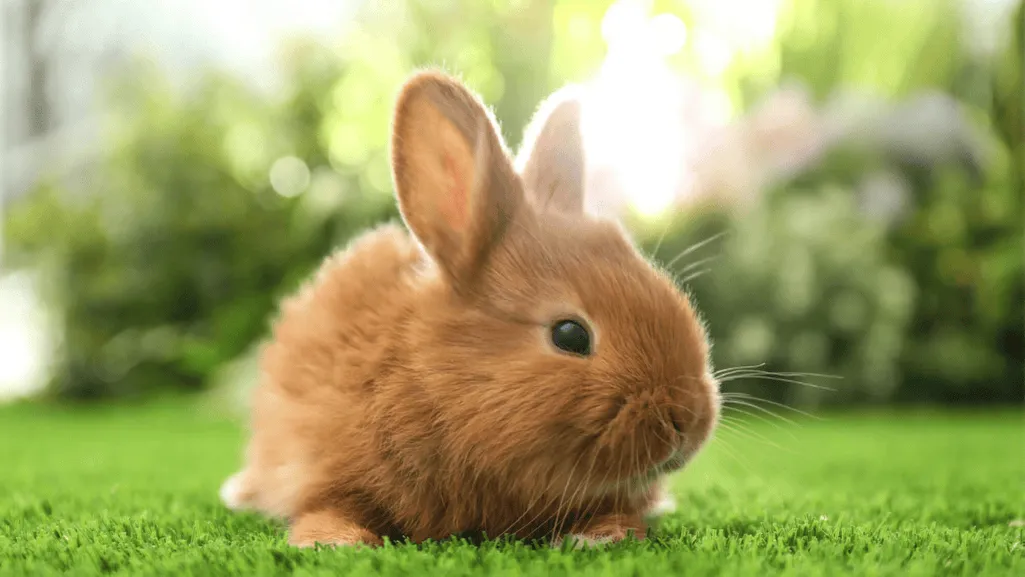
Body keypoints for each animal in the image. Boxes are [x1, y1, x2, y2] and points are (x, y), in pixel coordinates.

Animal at [219, 70, 720, 548]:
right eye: (570, 335)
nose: (688, 418)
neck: (430, 382)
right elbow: (326, 506)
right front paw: (337, 543)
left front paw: (601, 536)